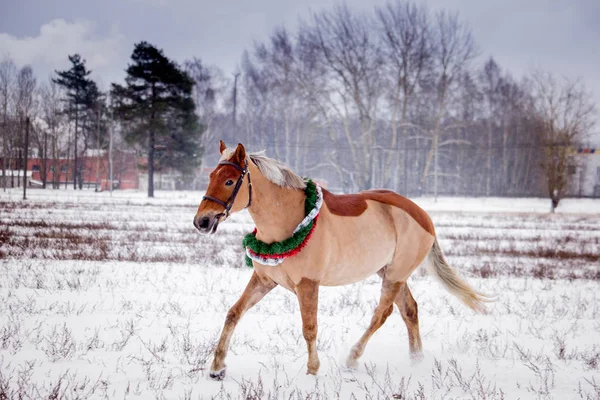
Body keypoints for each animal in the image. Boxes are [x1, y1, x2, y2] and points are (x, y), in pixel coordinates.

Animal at [195, 141, 490, 382]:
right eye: (210, 176)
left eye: (230, 181)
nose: (202, 221)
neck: (290, 220)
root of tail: (423, 216)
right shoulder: (265, 280)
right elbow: (234, 313)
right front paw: (217, 368)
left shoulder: (308, 285)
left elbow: (310, 328)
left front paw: (312, 371)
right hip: (390, 273)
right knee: (410, 311)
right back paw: (416, 362)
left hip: (395, 276)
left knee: (381, 314)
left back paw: (352, 358)